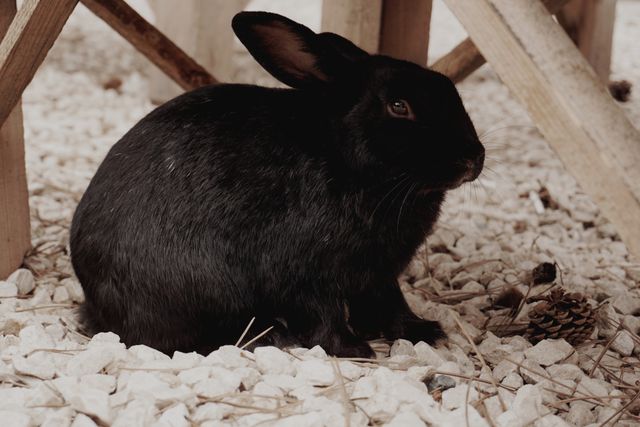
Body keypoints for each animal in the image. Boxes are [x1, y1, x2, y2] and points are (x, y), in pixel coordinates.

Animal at [70, 11, 484, 358]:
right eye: (399, 106)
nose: (472, 159)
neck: (347, 162)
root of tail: (94, 305)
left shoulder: (378, 276)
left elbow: (391, 304)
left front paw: (425, 331)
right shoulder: (307, 275)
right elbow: (324, 315)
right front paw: (354, 349)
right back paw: (272, 337)